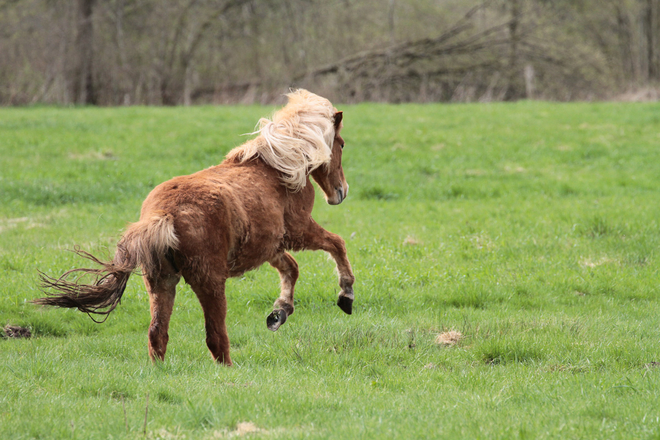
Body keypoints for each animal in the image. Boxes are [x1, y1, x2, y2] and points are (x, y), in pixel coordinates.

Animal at [34, 89, 356, 364]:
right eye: (341, 144)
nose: (341, 192)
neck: (277, 167)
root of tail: (163, 215)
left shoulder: (270, 247)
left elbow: (292, 269)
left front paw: (280, 312)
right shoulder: (298, 231)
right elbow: (336, 243)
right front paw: (346, 295)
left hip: (161, 283)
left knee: (157, 334)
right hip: (210, 282)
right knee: (216, 337)